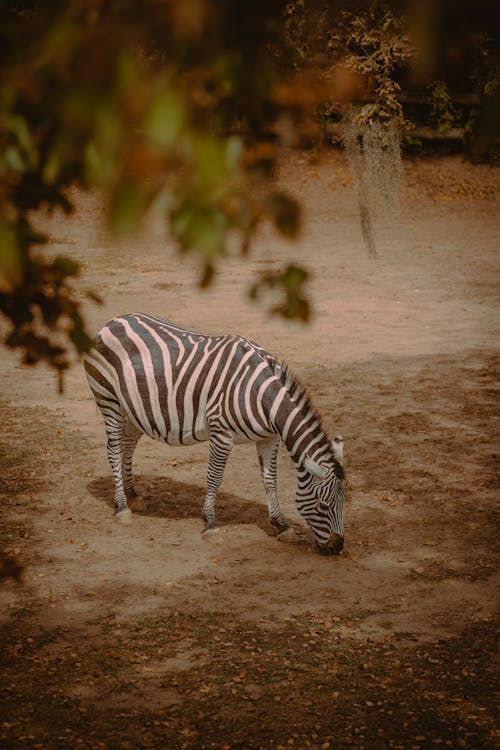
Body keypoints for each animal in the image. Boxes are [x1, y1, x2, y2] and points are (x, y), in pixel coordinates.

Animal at [84, 312, 346, 560]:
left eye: (344, 501)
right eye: (323, 506)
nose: (337, 547)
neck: (264, 396)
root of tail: (114, 320)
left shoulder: (270, 437)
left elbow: (270, 480)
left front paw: (281, 525)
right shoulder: (222, 435)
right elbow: (214, 478)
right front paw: (210, 523)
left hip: (137, 409)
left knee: (128, 444)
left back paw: (133, 495)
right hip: (108, 399)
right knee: (114, 449)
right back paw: (122, 507)